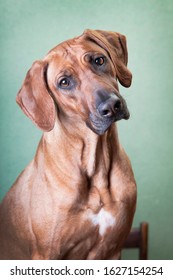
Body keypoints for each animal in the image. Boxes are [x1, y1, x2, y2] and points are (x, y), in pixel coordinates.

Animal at [0, 29, 137, 260]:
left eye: (99, 60)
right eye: (64, 82)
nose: (111, 105)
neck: (96, 164)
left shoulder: (113, 249)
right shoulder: (46, 254)